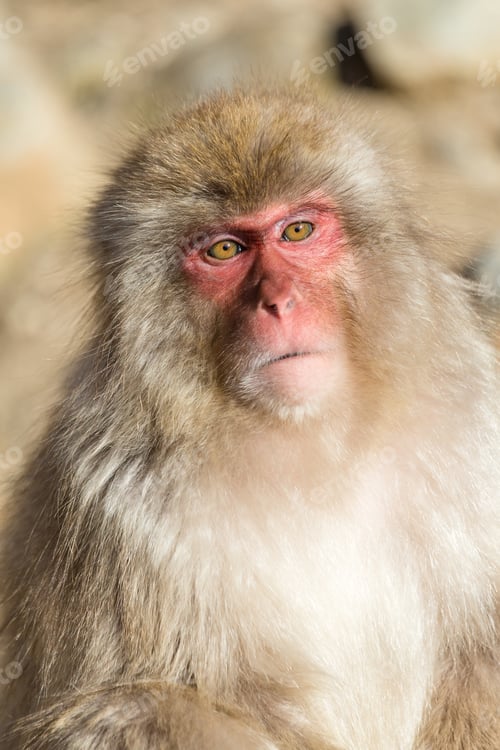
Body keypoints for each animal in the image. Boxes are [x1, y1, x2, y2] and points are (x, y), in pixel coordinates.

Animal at [0, 85, 499, 750]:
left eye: (298, 230)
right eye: (225, 250)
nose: (279, 302)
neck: (315, 442)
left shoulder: (472, 420)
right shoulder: (120, 498)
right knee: (139, 711)